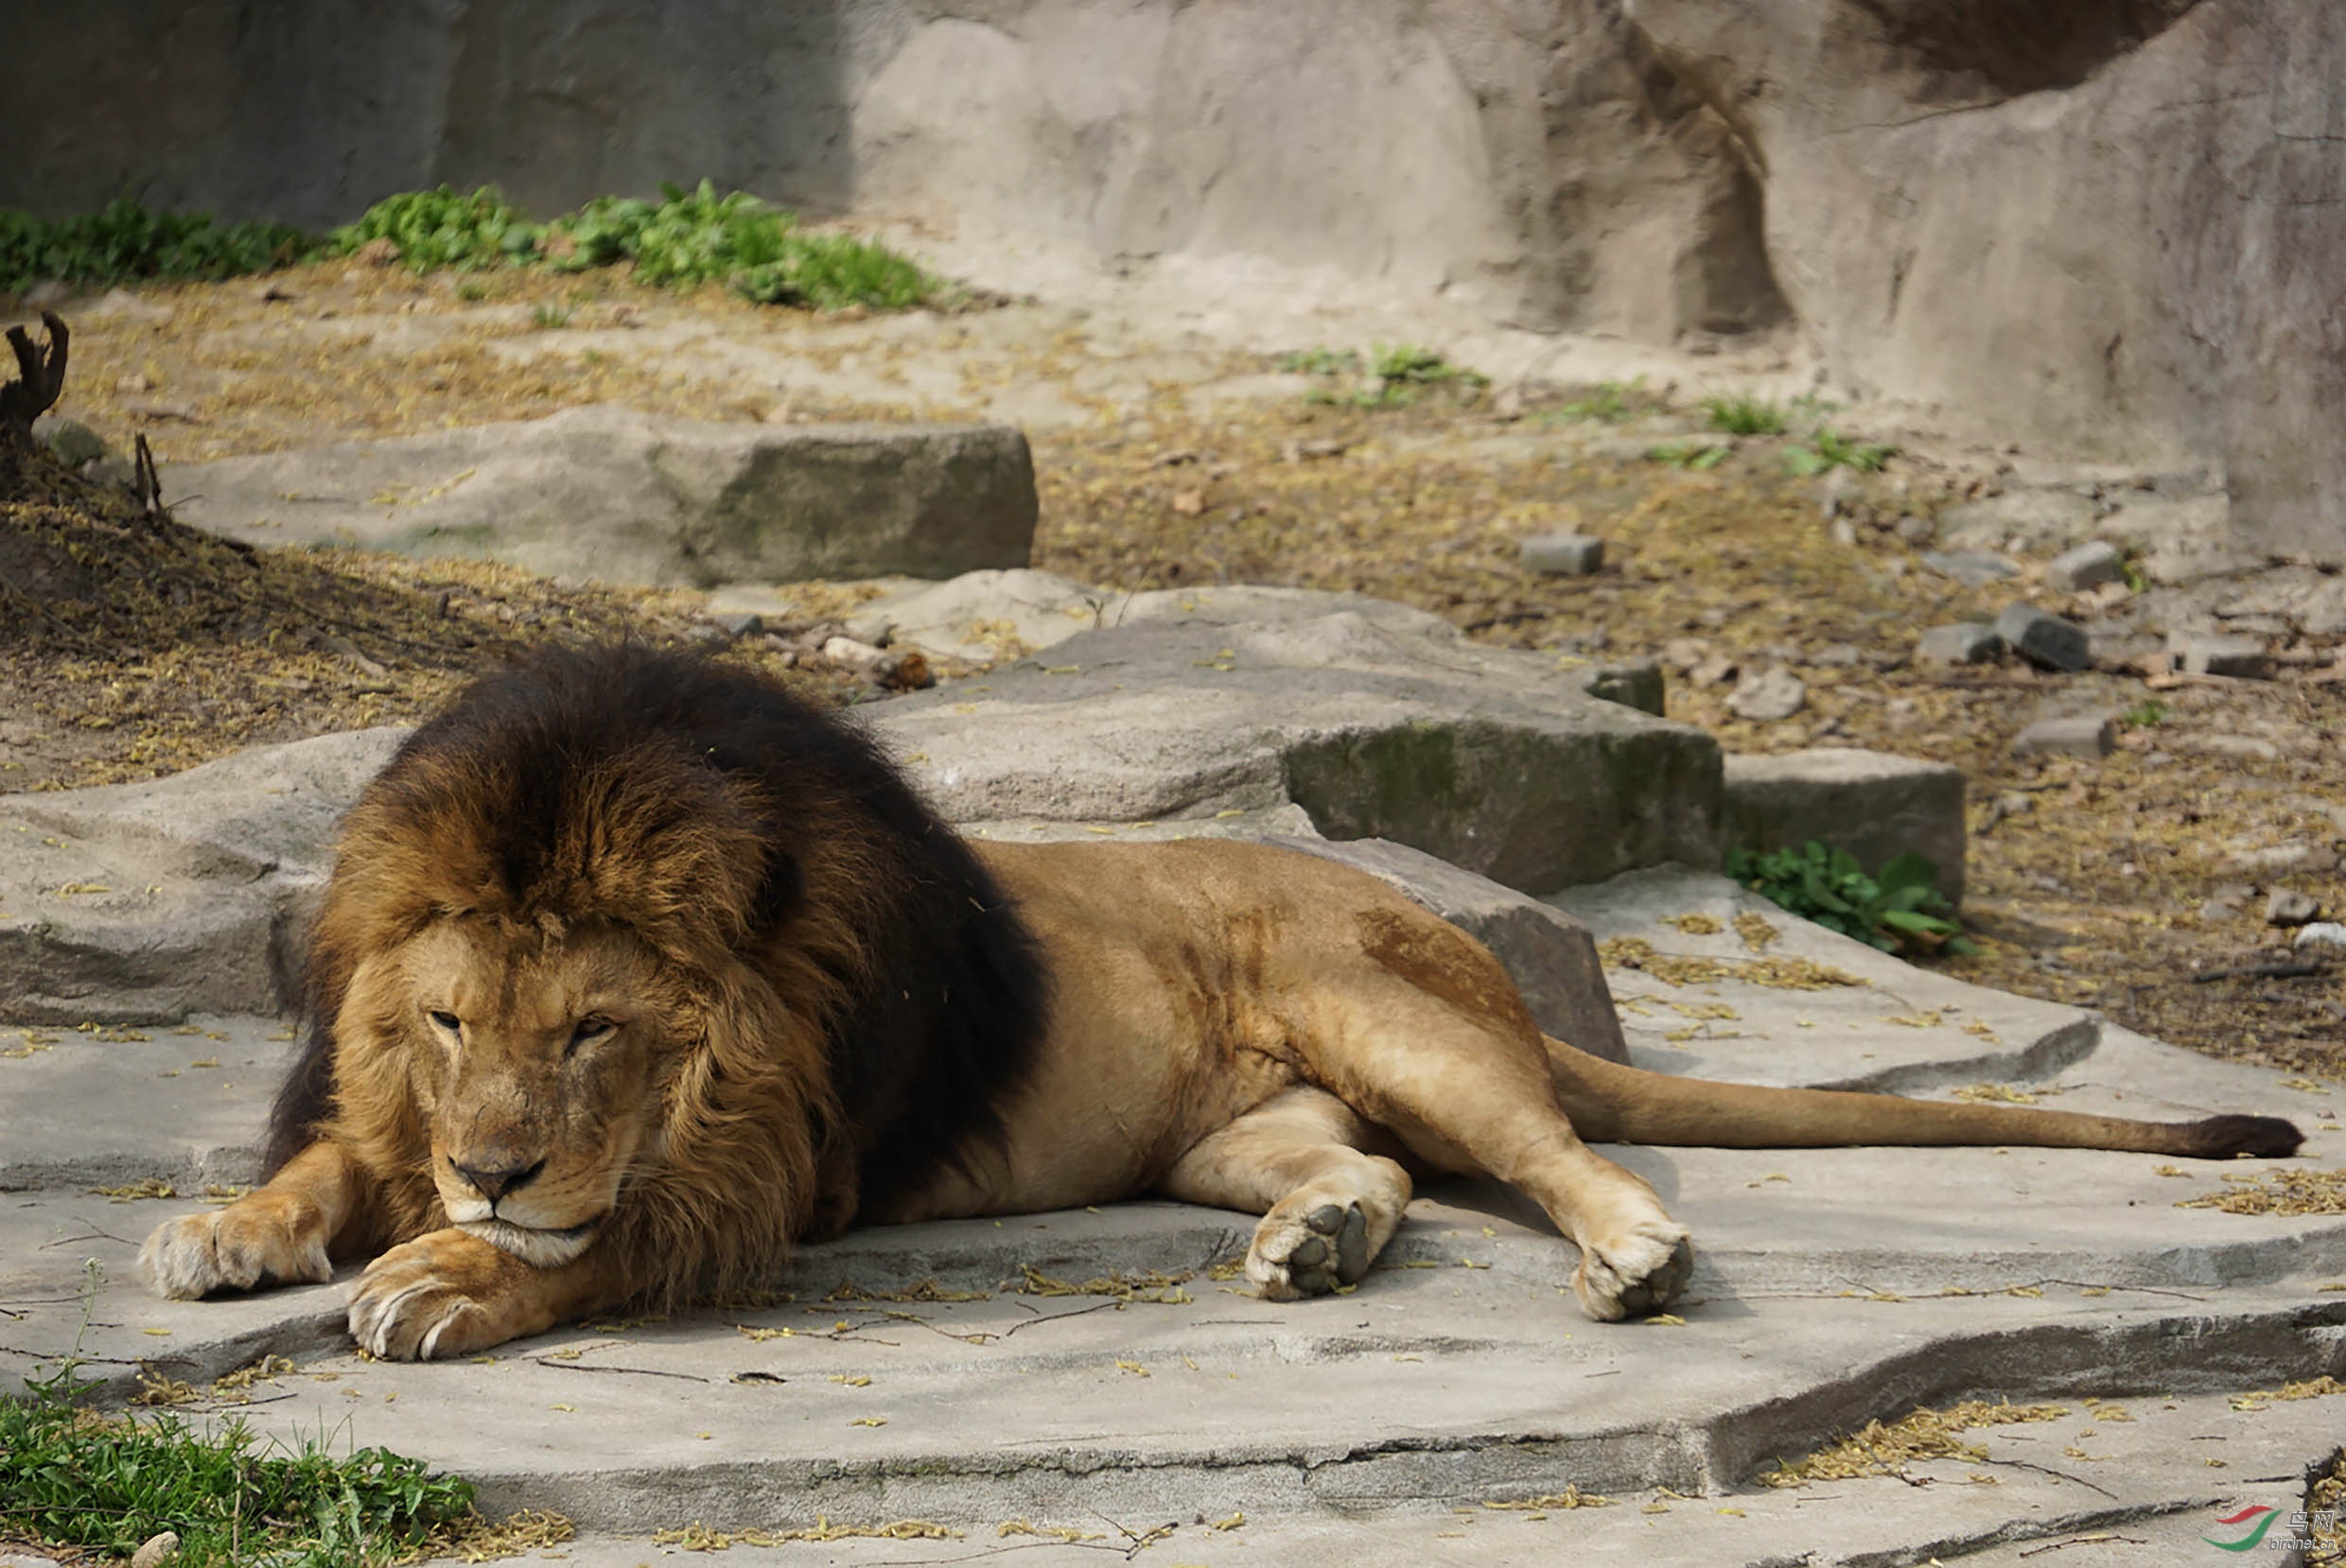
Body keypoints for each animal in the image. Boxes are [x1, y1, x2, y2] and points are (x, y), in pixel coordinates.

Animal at [147, 642, 2308, 1350]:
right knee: (1382, 1174)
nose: (493, 1170)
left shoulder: (781, 1174)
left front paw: (450, 1274)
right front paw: (234, 1225)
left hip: (1396, 1016)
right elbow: (333, 1160)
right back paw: (1317, 1242)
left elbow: (601, 1246)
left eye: (596, 1031)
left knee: (1544, 1155)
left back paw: (1632, 1255)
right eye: (449, 1022)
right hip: (1236, 1124)